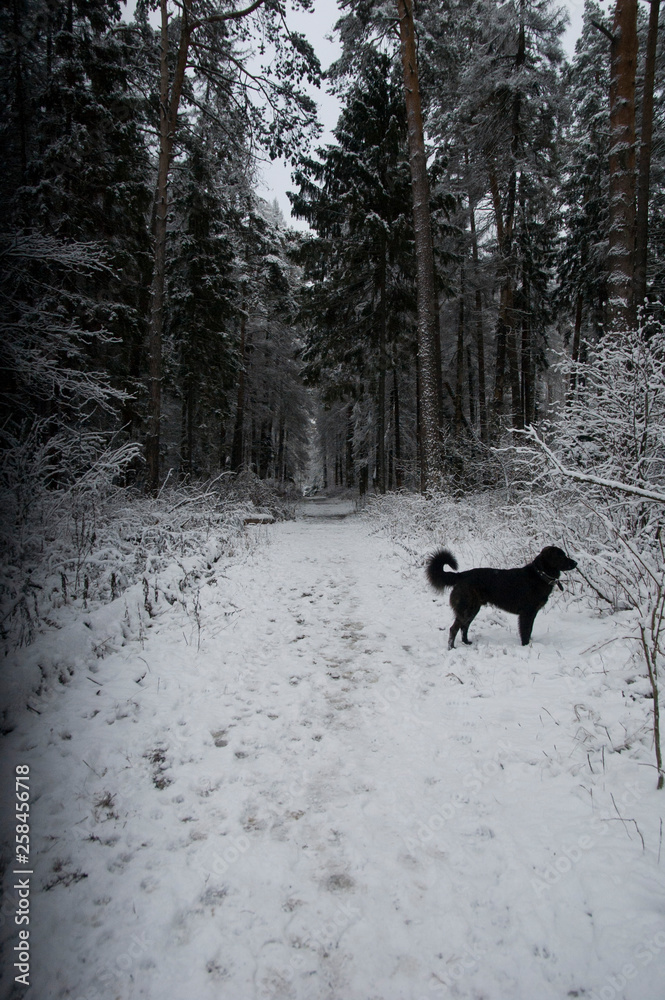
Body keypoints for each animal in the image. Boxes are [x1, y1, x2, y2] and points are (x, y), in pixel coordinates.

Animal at [426, 548, 576, 648]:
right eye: (561, 556)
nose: (576, 563)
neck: (540, 575)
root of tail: (461, 575)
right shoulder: (527, 614)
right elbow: (525, 631)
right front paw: (526, 646)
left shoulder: (532, 613)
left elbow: (529, 630)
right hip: (466, 609)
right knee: (454, 628)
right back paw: (452, 648)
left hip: (473, 609)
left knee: (464, 626)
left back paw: (466, 642)